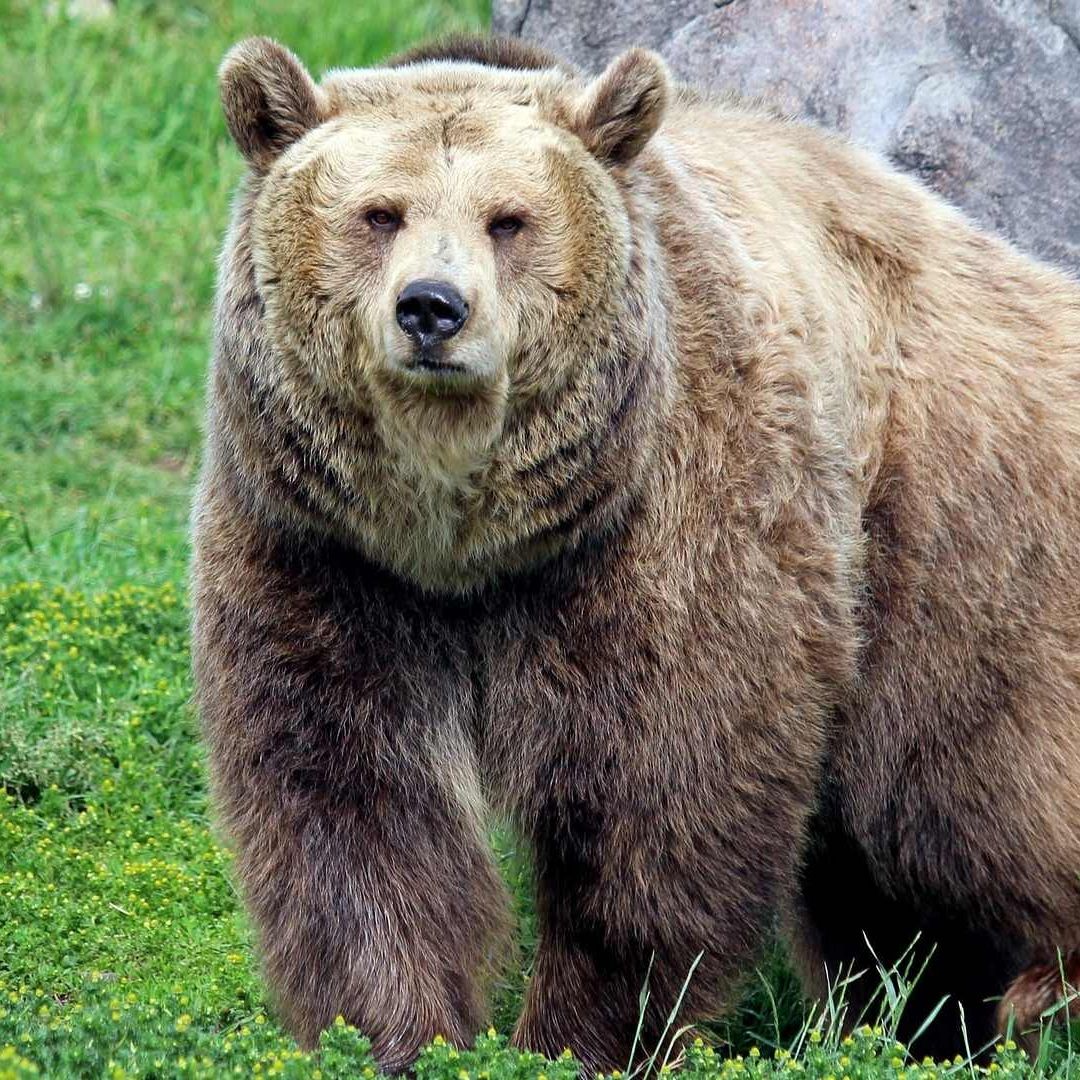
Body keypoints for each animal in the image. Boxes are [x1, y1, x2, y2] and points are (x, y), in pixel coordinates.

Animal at [191, 31, 1080, 1072]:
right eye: (380, 213)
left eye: (509, 220)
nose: (432, 309)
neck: (464, 543)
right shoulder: (324, 553)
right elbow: (350, 802)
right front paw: (396, 1033)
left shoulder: (665, 524)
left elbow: (658, 794)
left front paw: (579, 1037)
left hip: (954, 531)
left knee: (971, 795)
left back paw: (1038, 998)